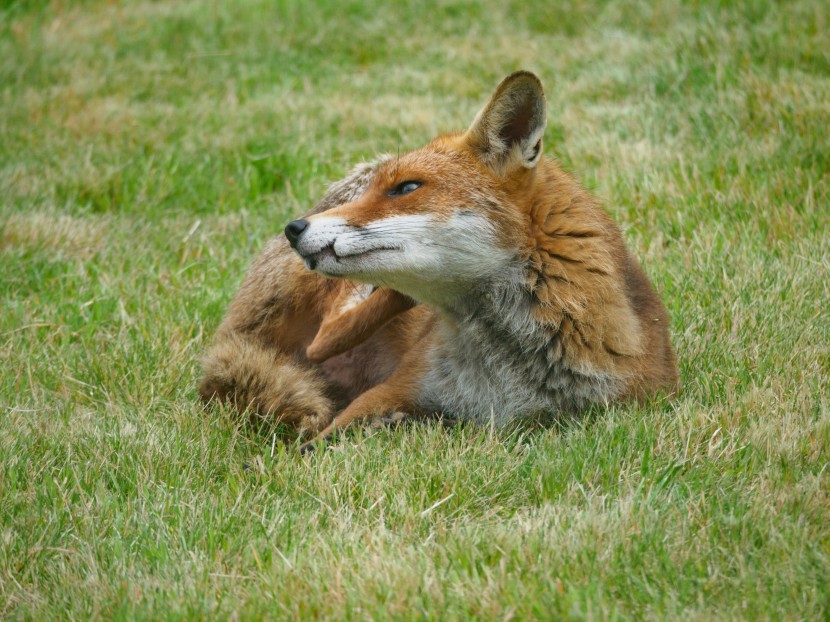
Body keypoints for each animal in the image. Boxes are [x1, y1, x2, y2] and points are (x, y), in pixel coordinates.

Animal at [198, 70, 680, 450]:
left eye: (407, 188)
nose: (294, 228)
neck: (506, 375)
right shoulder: (391, 390)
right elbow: (312, 447)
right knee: (326, 336)